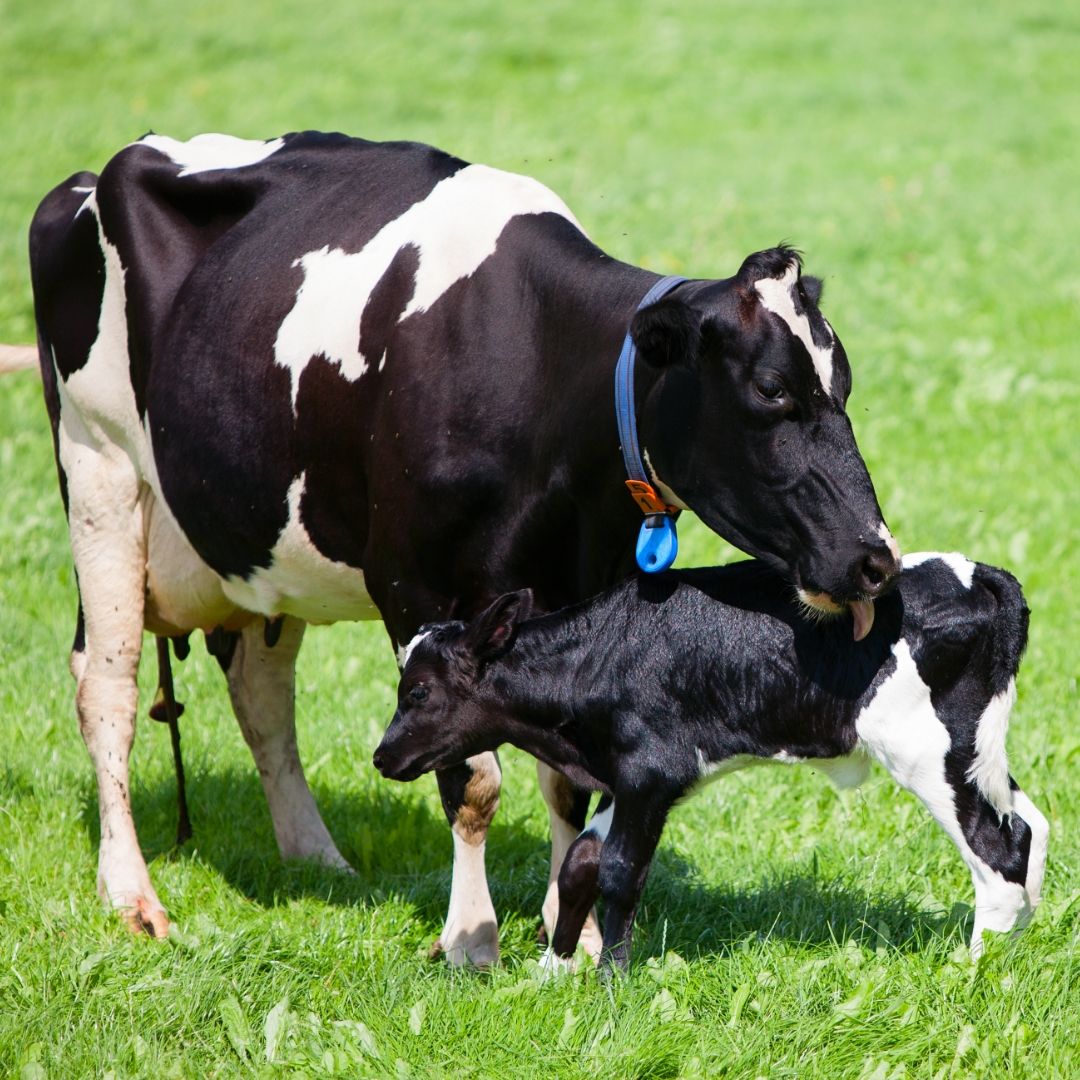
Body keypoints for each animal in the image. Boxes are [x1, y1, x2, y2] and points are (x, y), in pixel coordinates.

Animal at [29, 130, 900, 964]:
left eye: (845, 386)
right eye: (772, 389)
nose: (876, 559)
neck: (540, 369)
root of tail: (89, 177)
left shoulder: (580, 584)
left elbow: (566, 779)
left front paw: (574, 933)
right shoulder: (413, 586)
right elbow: (472, 780)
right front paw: (471, 937)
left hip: (259, 545)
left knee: (262, 694)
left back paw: (316, 858)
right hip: (98, 470)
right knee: (105, 687)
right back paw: (132, 894)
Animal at [374, 553, 1048, 971]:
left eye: (420, 692)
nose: (382, 756)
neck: (596, 656)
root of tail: (982, 577)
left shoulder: (649, 773)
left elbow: (619, 870)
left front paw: (609, 981)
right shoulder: (627, 778)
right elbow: (579, 863)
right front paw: (553, 970)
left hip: (926, 750)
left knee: (997, 847)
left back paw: (974, 968)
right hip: (974, 747)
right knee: (1029, 822)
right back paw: (1016, 948)